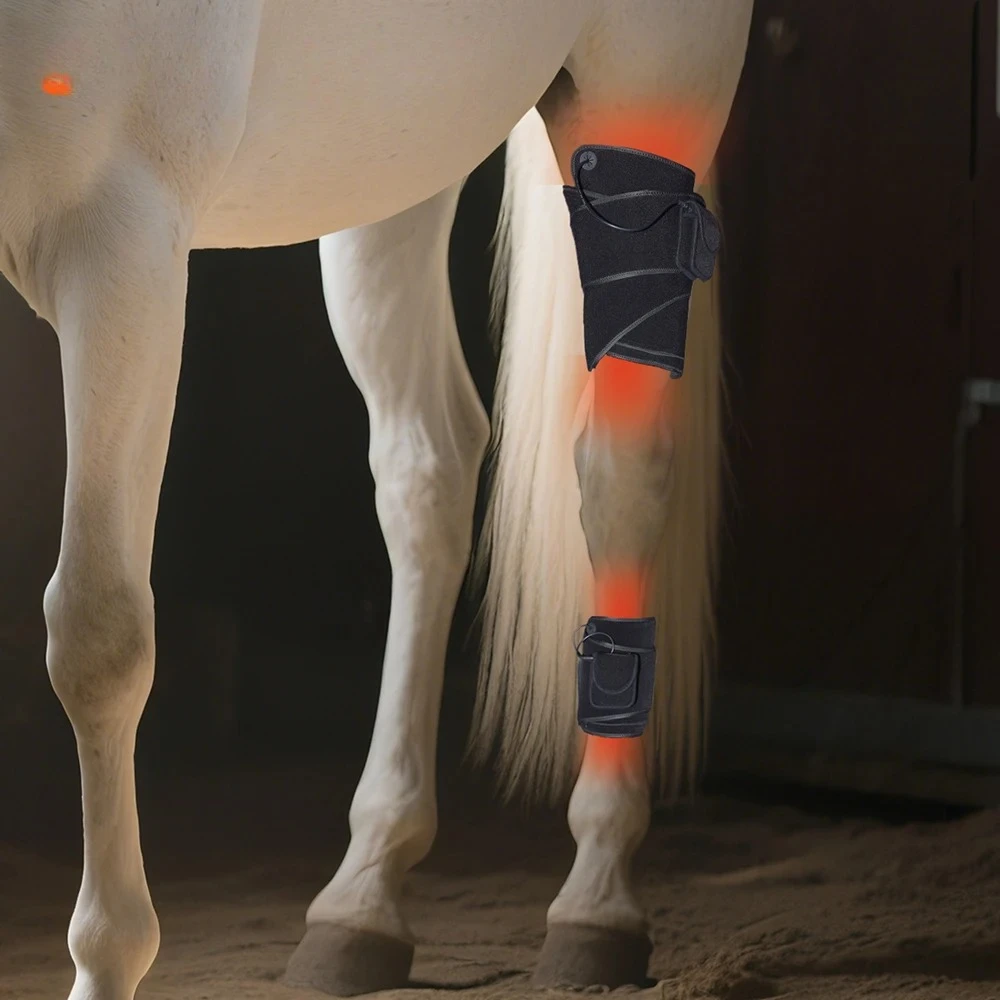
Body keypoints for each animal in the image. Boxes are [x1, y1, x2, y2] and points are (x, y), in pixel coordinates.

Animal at [0, 1, 753, 996]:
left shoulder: (118, 231)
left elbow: (99, 636)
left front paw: (107, 959)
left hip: (645, 107)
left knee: (618, 477)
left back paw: (596, 902)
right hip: (396, 153)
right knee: (428, 466)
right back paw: (362, 902)